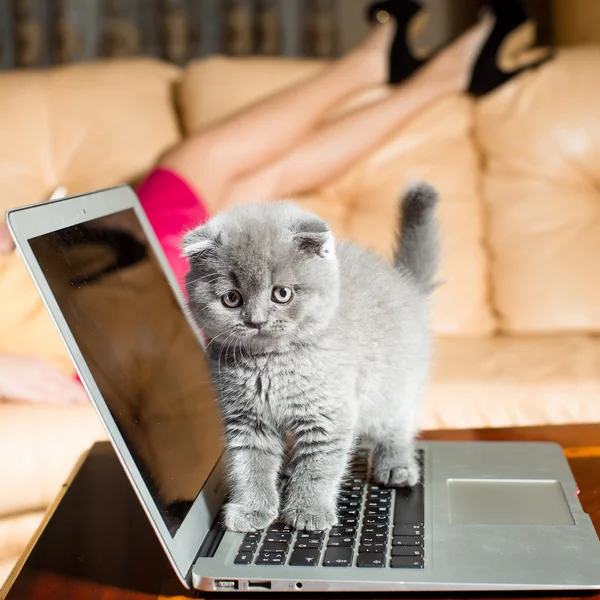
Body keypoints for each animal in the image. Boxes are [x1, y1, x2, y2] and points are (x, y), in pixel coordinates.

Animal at [180, 182, 438, 528]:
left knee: (396, 424)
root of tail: (405, 283)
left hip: (392, 383)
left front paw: (308, 510)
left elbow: (320, 466)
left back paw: (396, 465)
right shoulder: (246, 418)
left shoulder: (327, 413)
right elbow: (249, 464)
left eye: (282, 293)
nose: (256, 321)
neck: (269, 363)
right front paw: (252, 509)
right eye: (232, 299)